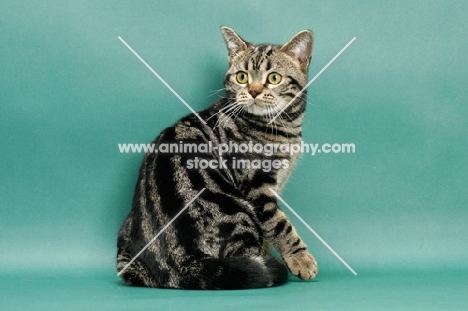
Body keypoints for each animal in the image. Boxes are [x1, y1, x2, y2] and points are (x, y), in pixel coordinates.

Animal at [117, 26, 318, 290]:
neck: (283, 128)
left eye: (274, 78)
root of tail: (179, 267)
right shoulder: (258, 188)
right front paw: (301, 259)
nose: (254, 91)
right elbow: (279, 226)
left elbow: (269, 232)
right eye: (242, 77)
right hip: (238, 210)